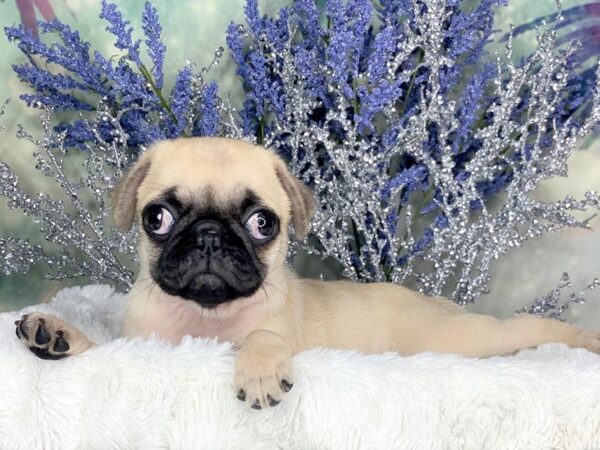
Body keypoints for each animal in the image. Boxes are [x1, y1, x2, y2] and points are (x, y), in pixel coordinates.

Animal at [14, 136, 600, 408]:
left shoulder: (273, 330)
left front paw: (258, 372)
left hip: (468, 338)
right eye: (157, 218)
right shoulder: (139, 348)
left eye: (262, 222)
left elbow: (263, 339)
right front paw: (55, 331)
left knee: (524, 329)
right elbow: (97, 348)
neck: (206, 317)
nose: (209, 235)